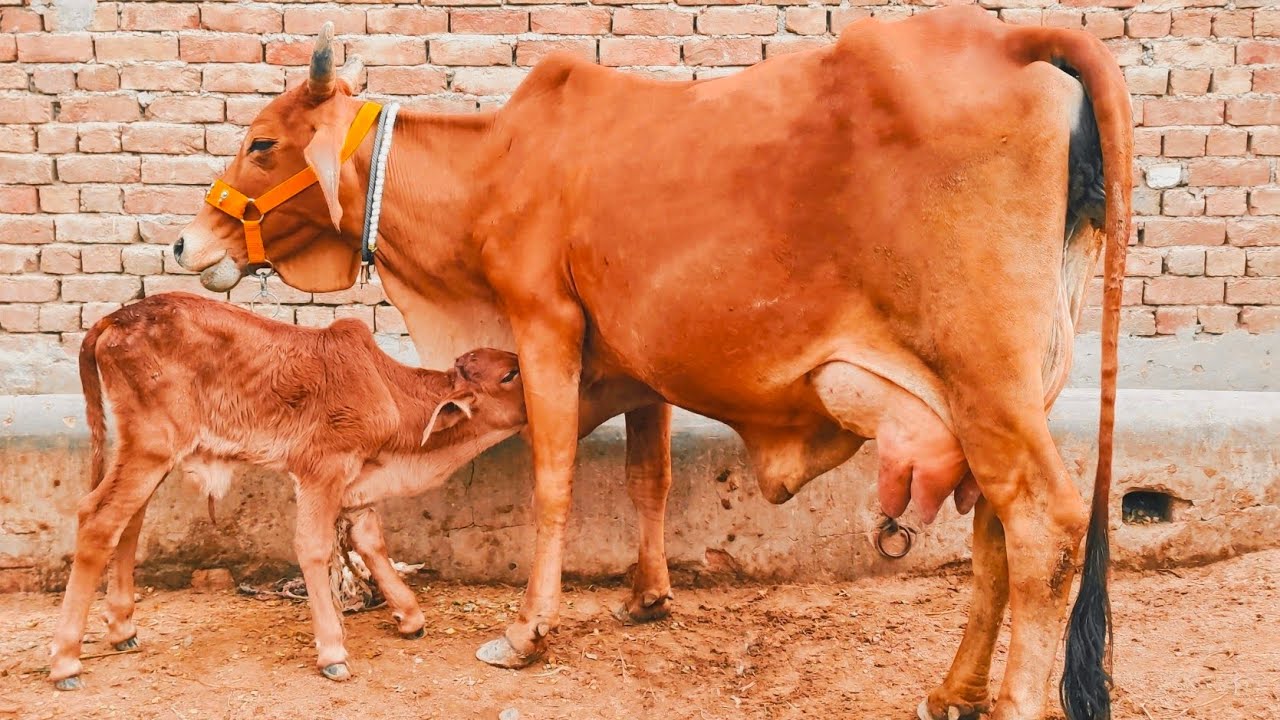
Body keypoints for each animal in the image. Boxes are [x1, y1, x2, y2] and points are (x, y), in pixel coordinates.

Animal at [47, 292, 528, 689]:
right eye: (509, 373)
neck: (389, 396)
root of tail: (115, 317)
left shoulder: (358, 483)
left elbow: (370, 541)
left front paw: (409, 617)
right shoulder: (321, 469)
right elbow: (313, 546)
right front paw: (332, 652)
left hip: (148, 453)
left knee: (130, 521)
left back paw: (122, 629)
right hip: (150, 446)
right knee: (98, 518)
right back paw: (66, 660)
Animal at [173, 7, 1132, 719]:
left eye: (261, 144)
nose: (189, 242)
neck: (492, 173)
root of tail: (1017, 39)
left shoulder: (544, 324)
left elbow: (553, 478)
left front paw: (527, 633)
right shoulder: (640, 368)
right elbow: (649, 479)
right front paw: (648, 596)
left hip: (985, 380)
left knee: (1043, 524)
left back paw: (1008, 699)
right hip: (1008, 390)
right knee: (996, 534)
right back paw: (954, 688)